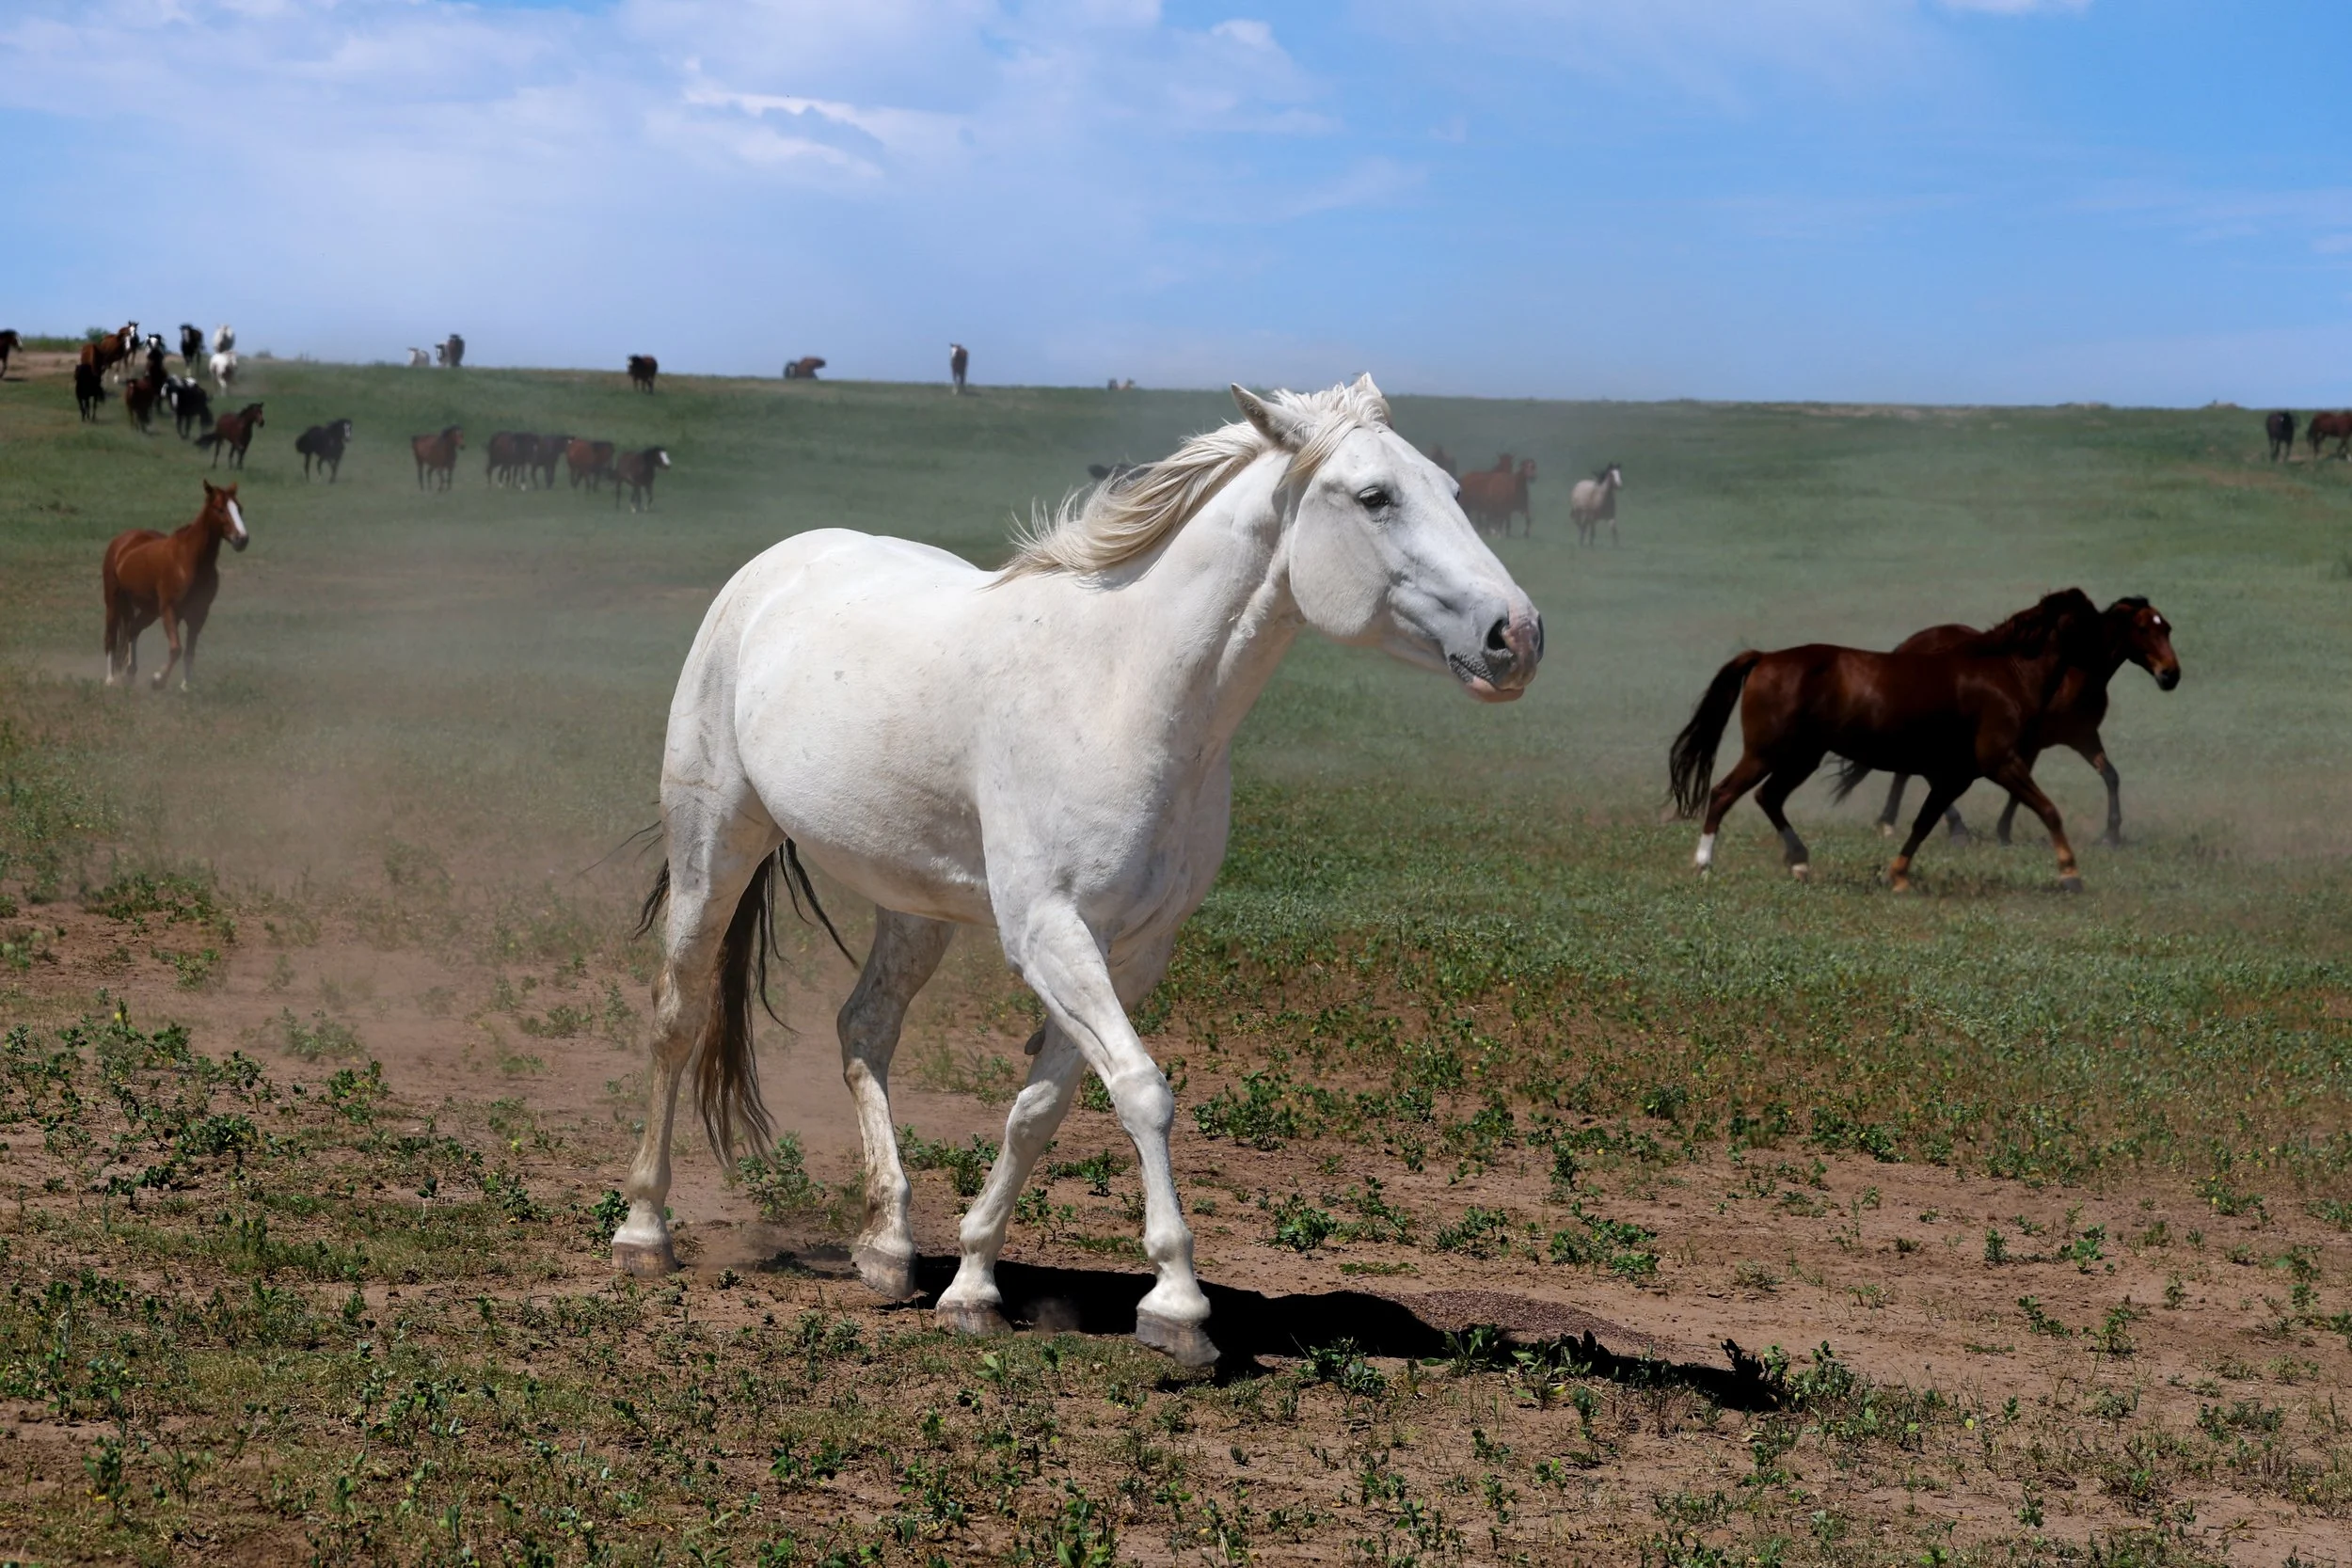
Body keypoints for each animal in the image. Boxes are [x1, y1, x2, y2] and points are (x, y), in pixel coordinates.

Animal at [101, 480, 249, 690]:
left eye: (240, 508)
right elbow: (176, 648)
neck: (189, 561)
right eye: (220, 509)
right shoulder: (169, 610)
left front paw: (186, 685)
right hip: (114, 601)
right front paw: (158, 680)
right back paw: (111, 679)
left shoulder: (199, 613)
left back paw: (130, 673)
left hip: (149, 611)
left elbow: (189, 651)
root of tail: (122, 541)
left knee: (132, 631)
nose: (242, 539)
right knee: (111, 637)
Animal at [615, 377, 1540, 1370]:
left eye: (1453, 487)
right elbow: (1141, 1090)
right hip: (714, 843)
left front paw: (974, 1281)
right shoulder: (1052, 932)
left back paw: (889, 1247)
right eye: (1375, 496)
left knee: (864, 1028)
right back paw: (644, 1230)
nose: (1517, 635)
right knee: (679, 1016)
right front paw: (1177, 1305)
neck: (1125, 690)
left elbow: (1041, 1105)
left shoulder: (1130, 950)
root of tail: (777, 563)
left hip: (916, 906)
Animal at [1668, 589, 2109, 893]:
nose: (2107, 664)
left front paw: (1897, 876)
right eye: (2090, 620)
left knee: (1769, 797)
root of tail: (1765, 658)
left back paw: (1799, 863)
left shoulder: (1953, 776)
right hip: (1765, 752)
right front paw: (2070, 874)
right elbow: (2049, 810)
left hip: (1802, 756)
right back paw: (1704, 863)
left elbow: (1923, 823)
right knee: (1724, 793)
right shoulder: (2000, 762)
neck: (2006, 675)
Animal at [1871, 598, 2180, 847]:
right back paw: (1954, 829)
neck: (2074, 676)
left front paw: (2110, 836)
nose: (2171, 675)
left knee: (1907, 769)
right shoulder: (2030, 742)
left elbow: (2111, 776)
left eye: (2167, 628)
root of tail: (1904, 647)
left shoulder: (2083, 736)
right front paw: (2003, 832)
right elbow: (2020, 789)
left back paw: (1889, 822)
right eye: (2143, 629)